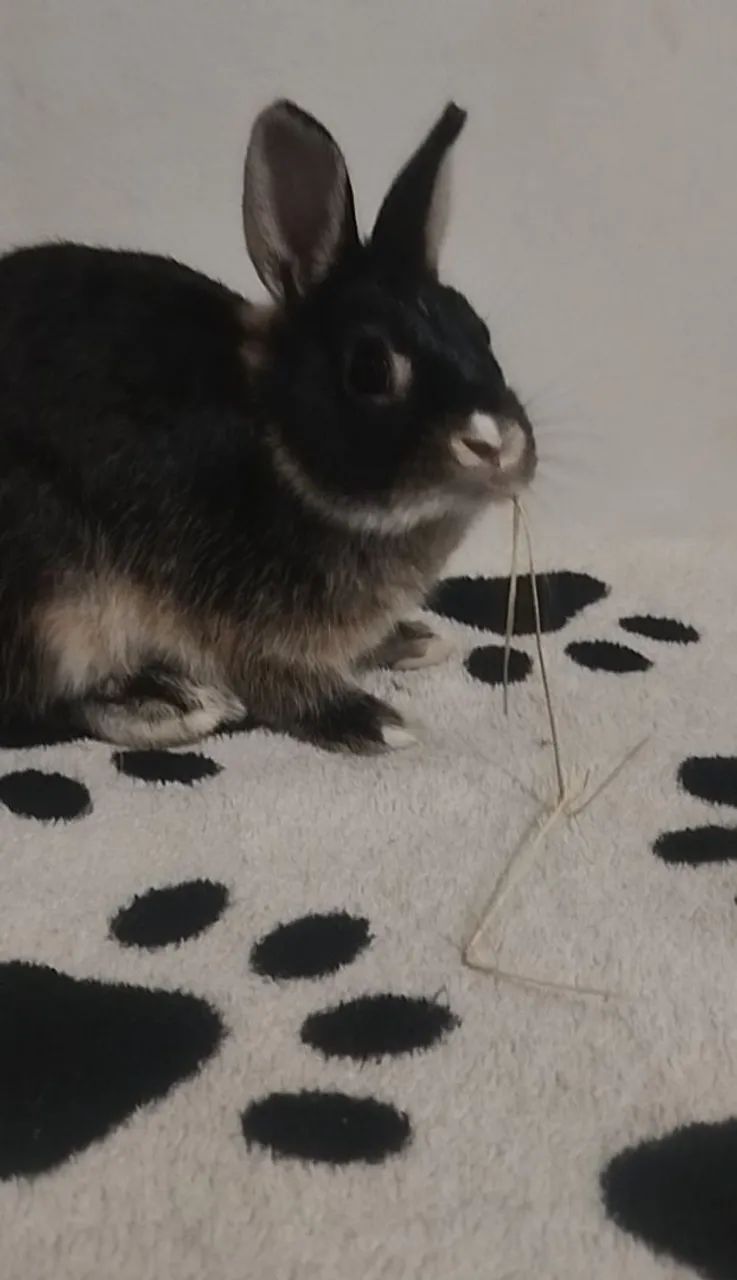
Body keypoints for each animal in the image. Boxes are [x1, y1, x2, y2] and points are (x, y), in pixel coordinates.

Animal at [0, 100, 535, 754]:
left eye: (480, 331)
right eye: (370, 368)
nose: (497, 443)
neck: (275, 444)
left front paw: (412, 638)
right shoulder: (235, 622)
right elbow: (274, 680)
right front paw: (375, 721)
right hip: (50, 590)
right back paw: (168, 703)